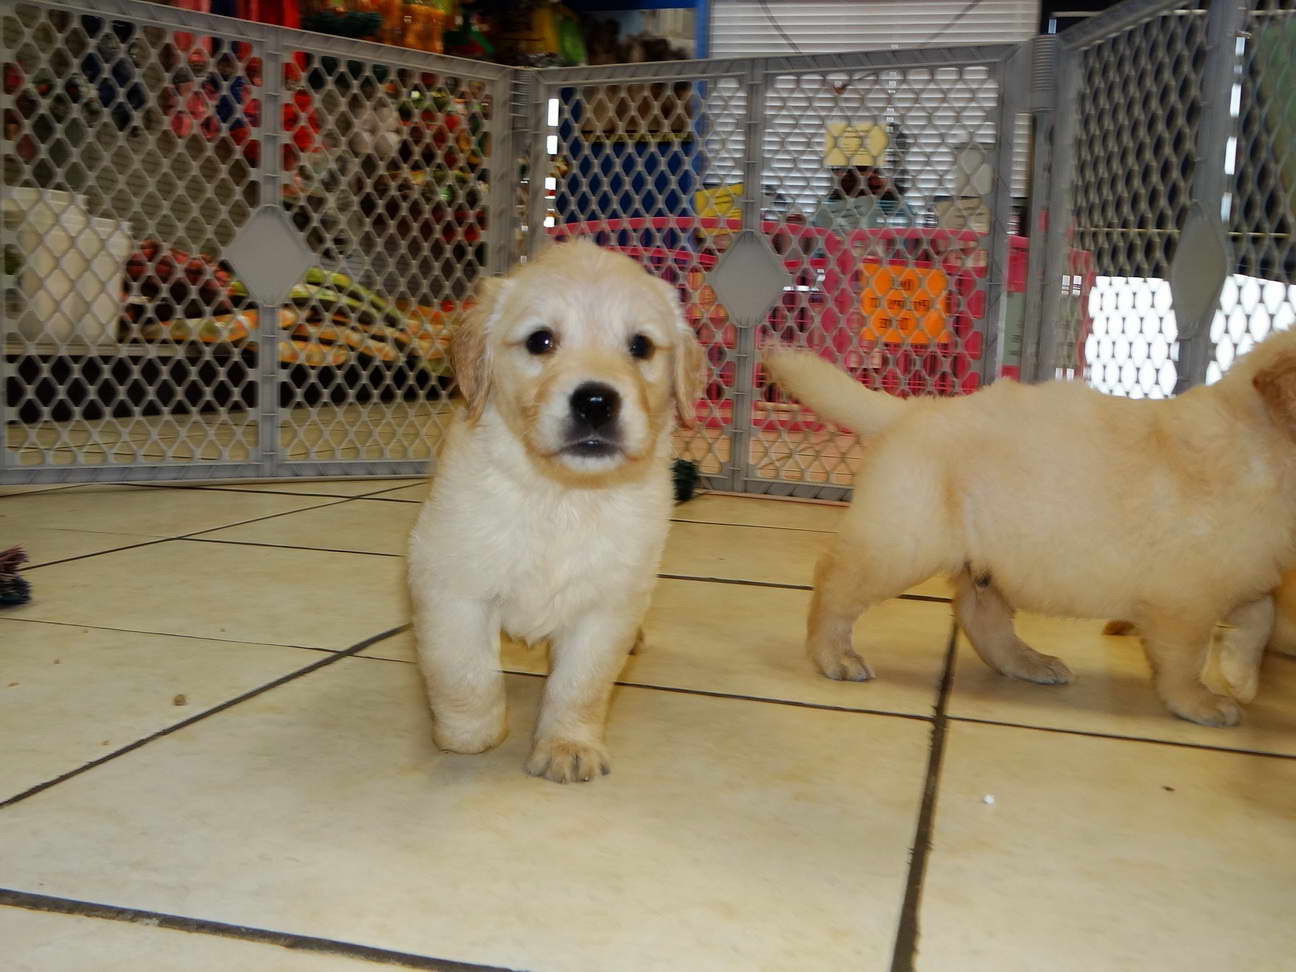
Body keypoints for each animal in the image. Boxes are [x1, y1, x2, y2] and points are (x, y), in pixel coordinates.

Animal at [409, 242, 705, 782]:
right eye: (540, 340)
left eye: (641, 346)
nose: (596, 401)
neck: (564, 494)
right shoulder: (449, 581)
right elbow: (464, 672)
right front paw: (468, 734)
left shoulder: (608, 603)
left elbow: (580, 686)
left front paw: (568, 746)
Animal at [756, 334, 1296, 725]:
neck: (1264, 448)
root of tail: (915, 408)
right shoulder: (1184, 598)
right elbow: (1185, 659)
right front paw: (1204, 702)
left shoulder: (1244, 569)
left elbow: (1262, 615)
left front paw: (1241, 677)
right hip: (902, 540)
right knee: (835, 581)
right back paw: (835, 657)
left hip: (992, 558)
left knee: (979, 616)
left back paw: (1031, 663)